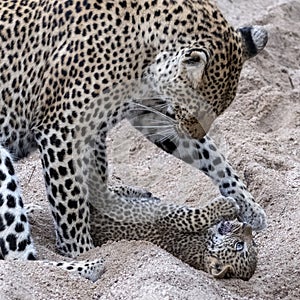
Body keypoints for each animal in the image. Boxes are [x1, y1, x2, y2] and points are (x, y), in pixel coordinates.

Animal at [0, 0, 268, 282]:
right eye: (195, 109)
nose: (192, 132)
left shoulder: (148, 113)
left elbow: (212, 156)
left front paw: (249, 207)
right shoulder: (62, 130)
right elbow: (70, 201)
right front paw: (80, 248)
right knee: (18, 258)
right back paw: (88, 265)